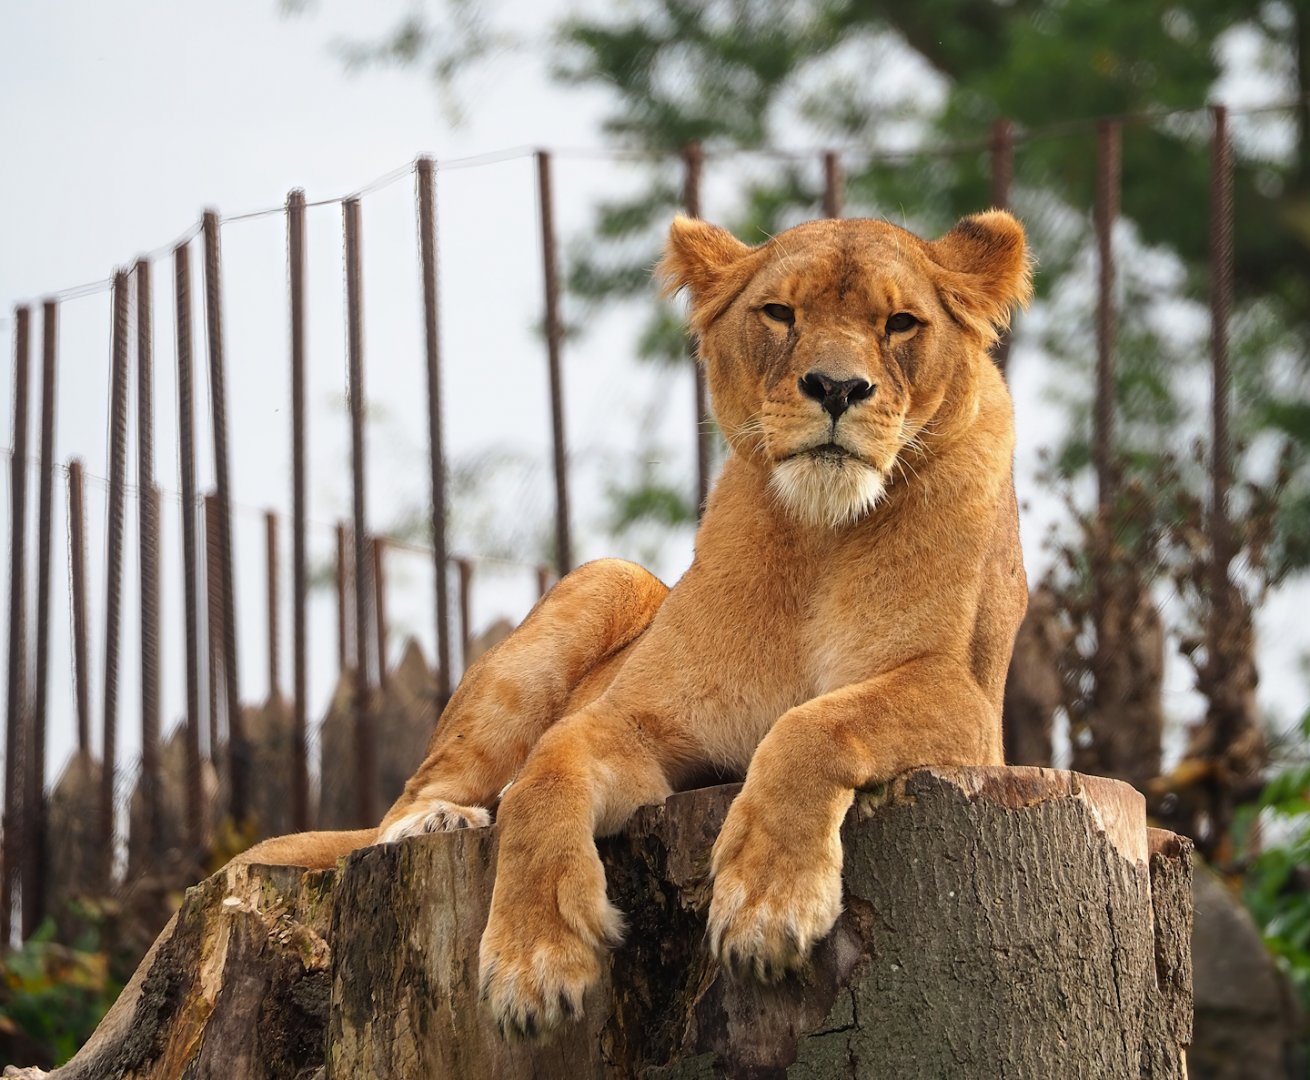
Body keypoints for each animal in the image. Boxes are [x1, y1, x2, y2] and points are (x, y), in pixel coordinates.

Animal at [237, 209, 1032, 1041]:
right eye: (780, 314)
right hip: (605, 580)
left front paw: (766, 905)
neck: (819, 538)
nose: (836, 387)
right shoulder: (641, 721)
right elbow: (543, 775)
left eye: (900, 323)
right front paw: (533, 963)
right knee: (411, 799)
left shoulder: (969, 705)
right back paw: (437, 823)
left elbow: (817, 722)